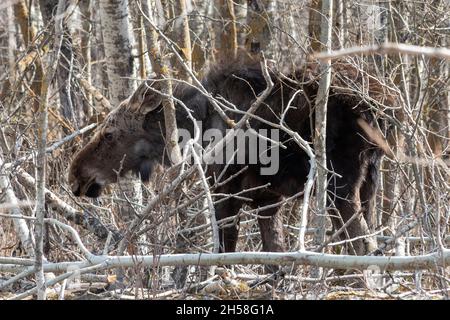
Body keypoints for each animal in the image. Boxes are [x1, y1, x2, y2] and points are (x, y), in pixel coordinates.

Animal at [68, 59, 396, 255]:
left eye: (109, 134)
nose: (76, 175)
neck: (193, 128)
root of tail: (380, 107)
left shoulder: (224, 189)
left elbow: (225, 252)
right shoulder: (267, 199)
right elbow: (274, 257)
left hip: (339, 184)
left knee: (363, 242)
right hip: (370, 181)